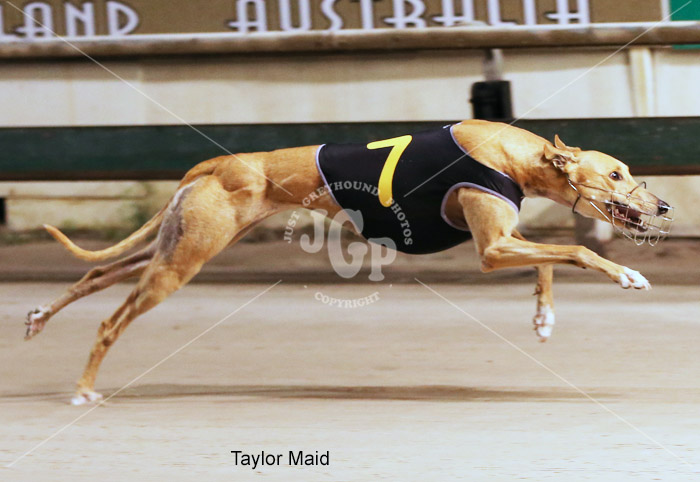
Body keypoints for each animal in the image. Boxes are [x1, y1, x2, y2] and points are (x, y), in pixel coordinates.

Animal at [25, 119, 673, 405]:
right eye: (618, 174)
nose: (664, 204)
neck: (510, 153)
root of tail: (215, 165)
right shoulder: (492, 249)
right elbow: (579, 250)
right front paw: (628, 274)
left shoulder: (503, 235)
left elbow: (550, 262)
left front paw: (542, 317)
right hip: (182, 263)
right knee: (110, 319)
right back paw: (82, 389)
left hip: (174, 245)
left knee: (96, 273)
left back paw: (37, 319)